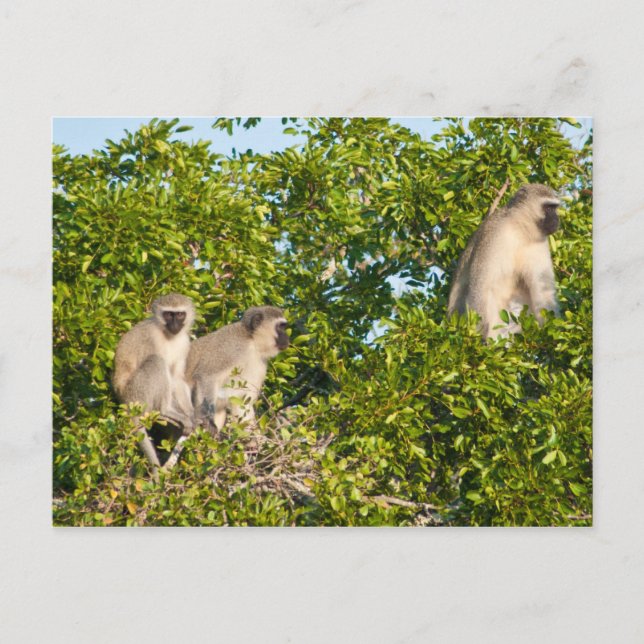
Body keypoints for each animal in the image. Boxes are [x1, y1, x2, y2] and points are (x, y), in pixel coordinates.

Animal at [113, 293, 196, 470]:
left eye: (180, 314)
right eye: (168, 314)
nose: (174, 324)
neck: (169, 336)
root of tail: (125, 401)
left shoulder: (184, 342)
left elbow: (176, 377)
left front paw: (192, 414)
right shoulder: (150, 337)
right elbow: (166, 373)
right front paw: (180, 415)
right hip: (137, 391)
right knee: (156, 362)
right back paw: (165, 411)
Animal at [447, 184, 561, 339]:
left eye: (555, 208)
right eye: (549, 208)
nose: (557, 219)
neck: (519, 229)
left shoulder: (539, 242)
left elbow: (543, 293)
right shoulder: (495, 233)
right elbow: (481, 287)